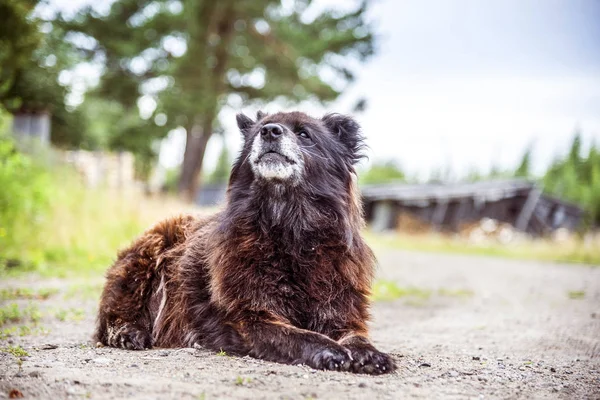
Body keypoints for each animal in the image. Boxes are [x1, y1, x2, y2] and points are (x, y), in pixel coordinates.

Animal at [96, 111, 396, 374]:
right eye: (260, 130)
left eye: (304, 134)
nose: (270, 131)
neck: (290, 231)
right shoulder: (250, 317)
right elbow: (298, 335)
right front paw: (331, 350)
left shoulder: (340, 311)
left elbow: (356, 336)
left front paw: (370, 353)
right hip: (146, 257)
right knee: (111, 316)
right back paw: (128, 332)